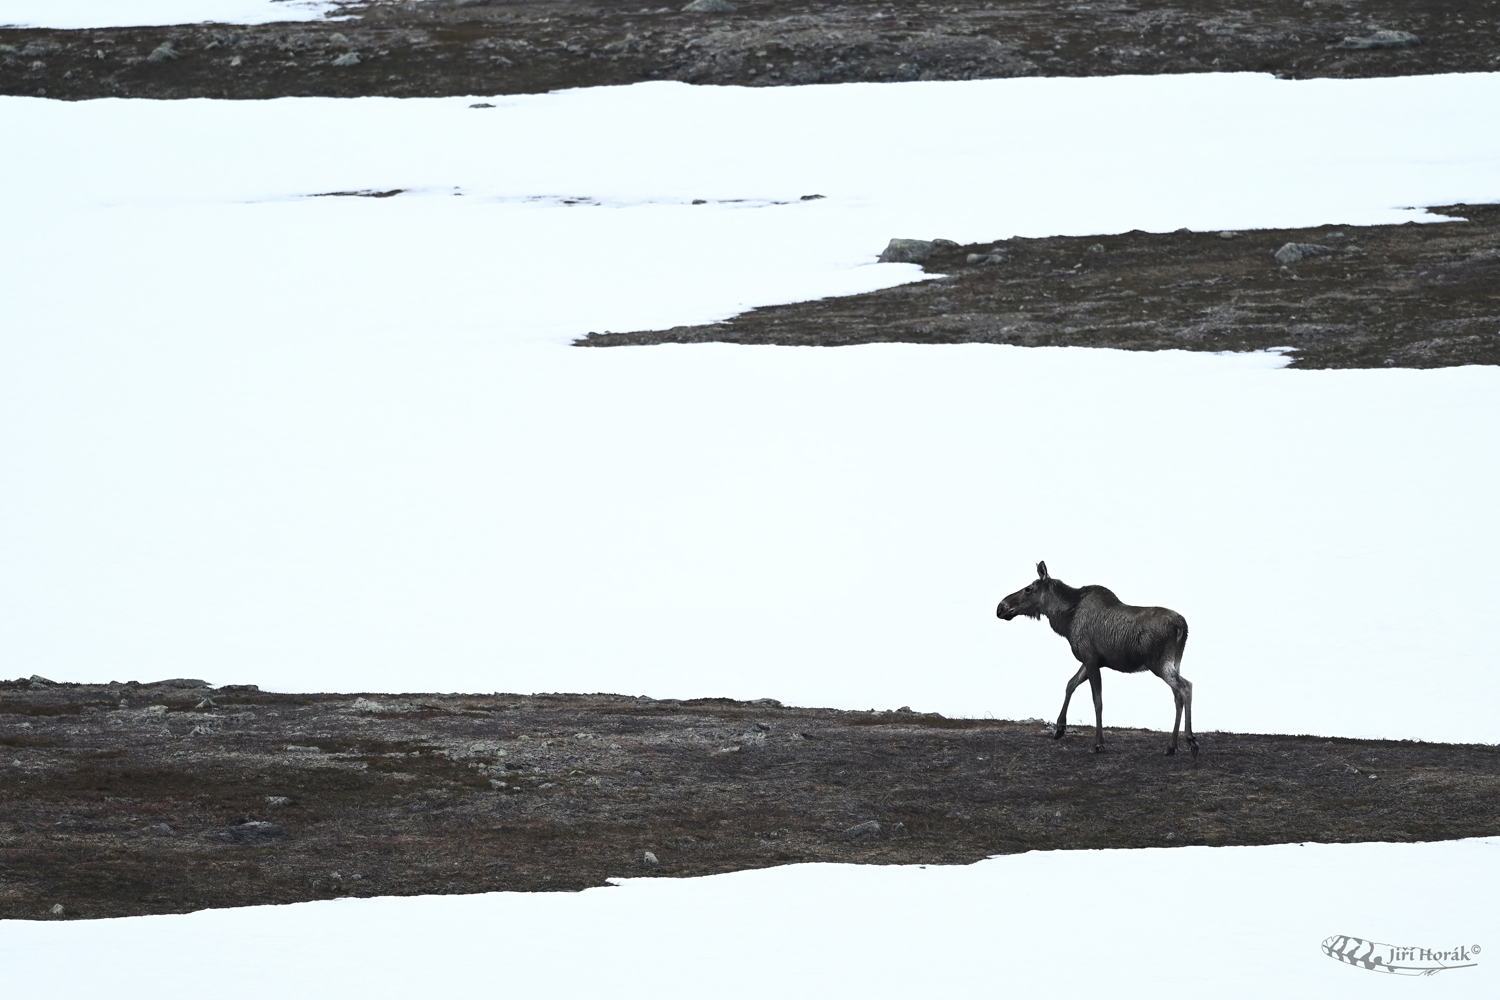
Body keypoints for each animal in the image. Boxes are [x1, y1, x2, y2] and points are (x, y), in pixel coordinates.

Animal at [996, 562, 1197, 757]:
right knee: (1177, 696)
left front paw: (1098, 743)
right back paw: (1171, 746)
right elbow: (1070, 684)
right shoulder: (1092, 660)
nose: (1001, 607)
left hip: (1159, 663)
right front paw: (1059, 728)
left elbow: (1097, 701)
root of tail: (1182, 626)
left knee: (1186, 686)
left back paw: (1190, 739)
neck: (1066, 620)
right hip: (1174, 662)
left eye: (1028, 589)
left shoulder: (1090, 658)